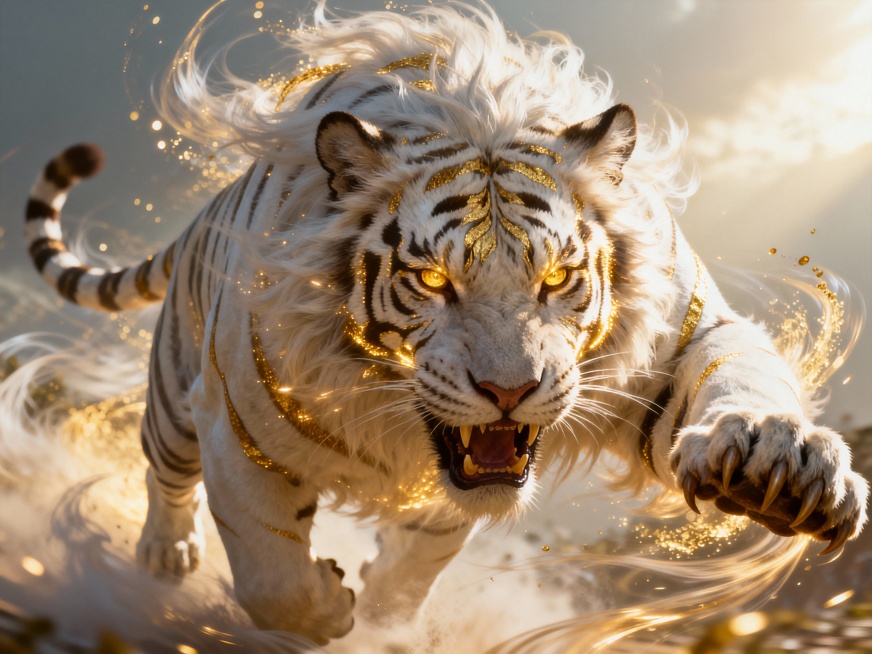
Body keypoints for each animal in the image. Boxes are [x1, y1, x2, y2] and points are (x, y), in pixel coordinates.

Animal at [23, 2, 868, 645]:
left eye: (556, 278)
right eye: (432, 280)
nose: (509, 391)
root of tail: (204, 215)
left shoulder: (677, 339)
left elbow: (740, 377)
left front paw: (777, 462)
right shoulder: (238, 423)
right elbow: (270, 577)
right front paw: (329, 609)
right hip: (174, 395)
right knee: (164, 475)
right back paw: (164, 555)